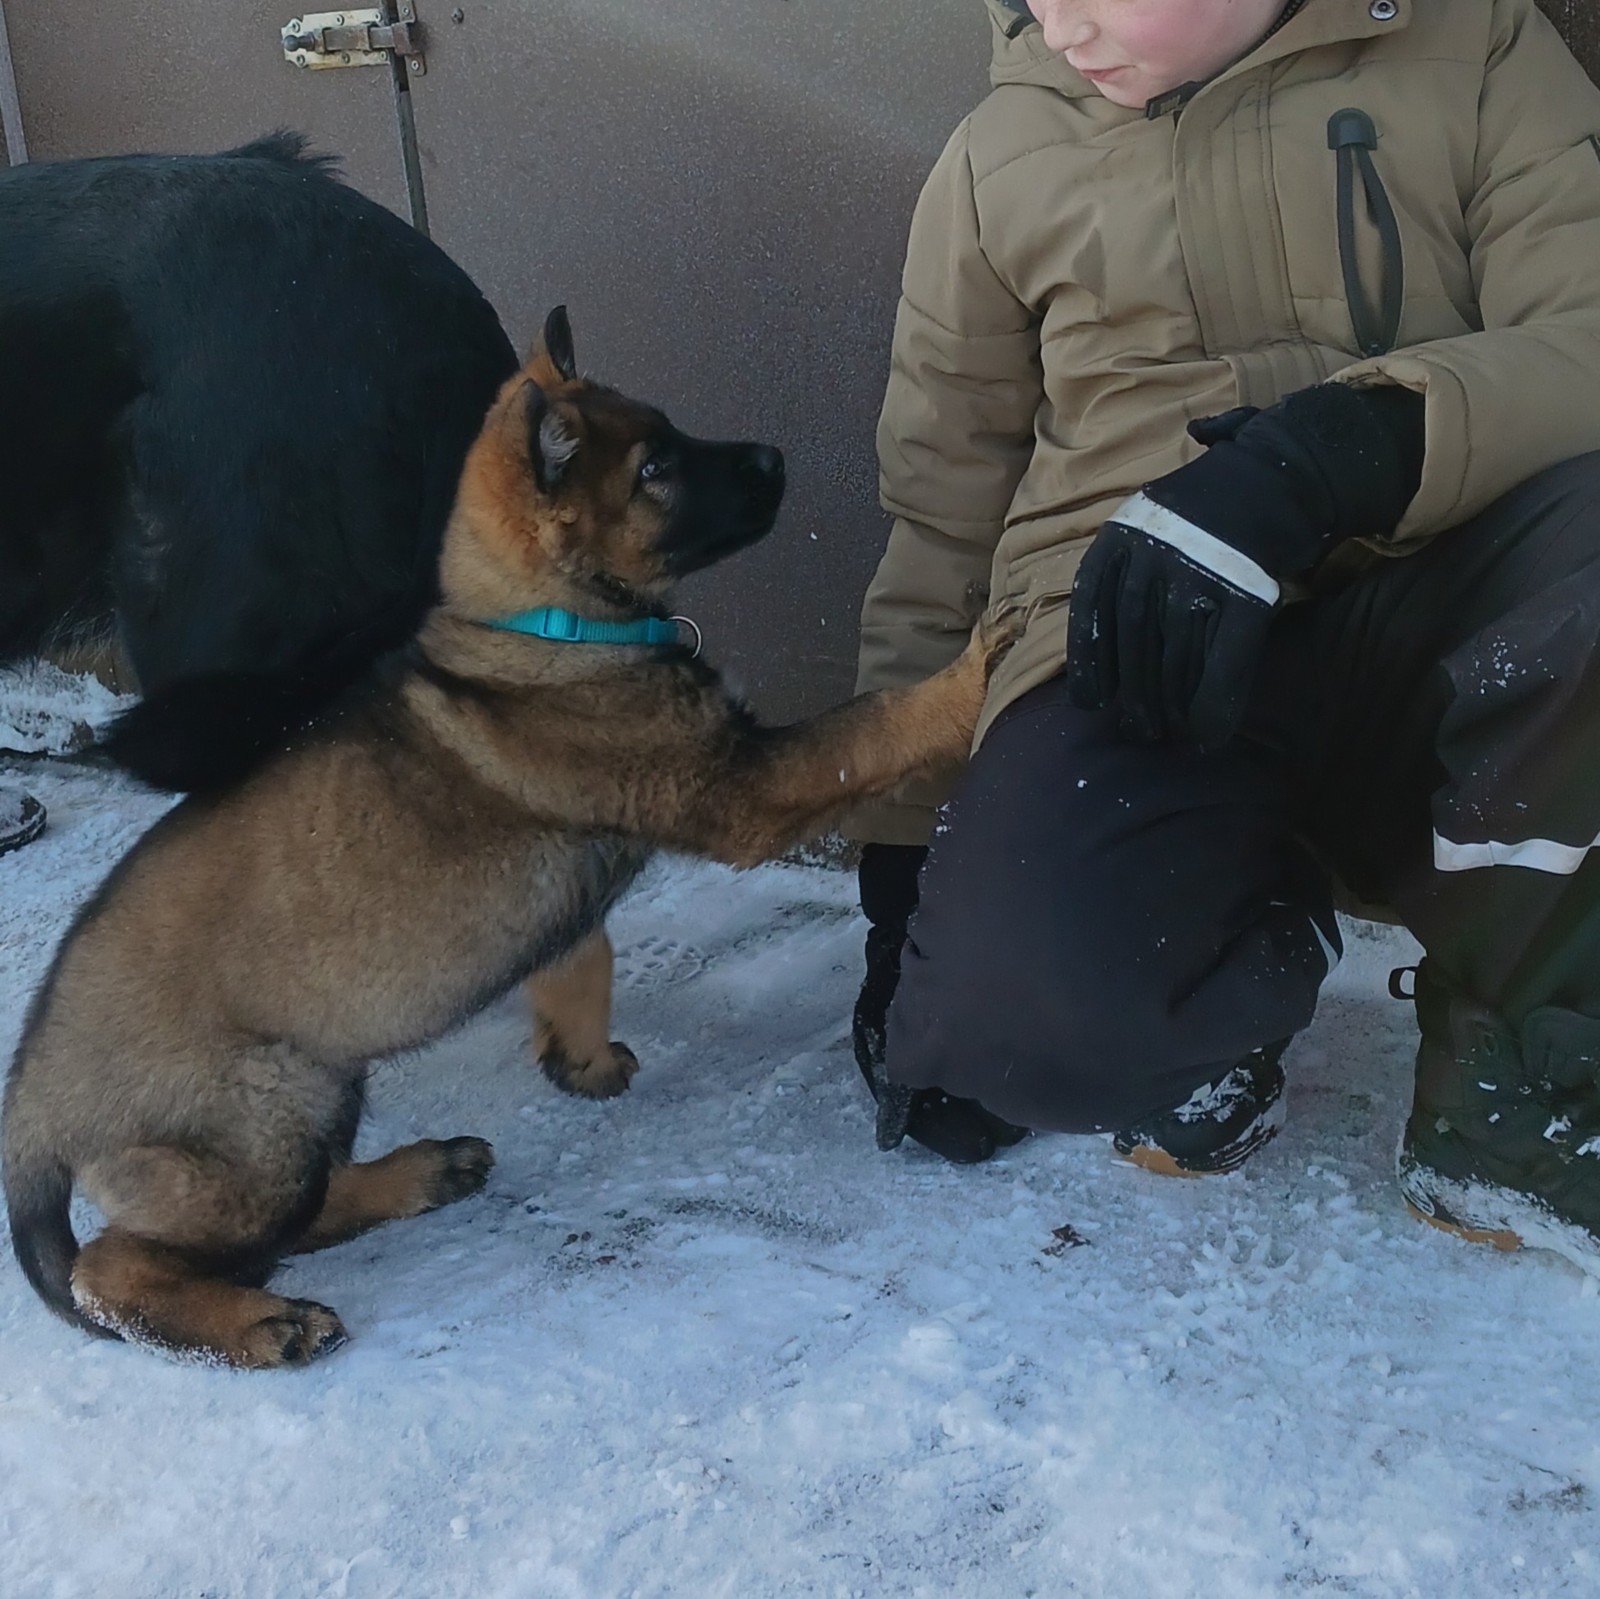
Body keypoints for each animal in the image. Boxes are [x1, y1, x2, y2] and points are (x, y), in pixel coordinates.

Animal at [2, 308, 1013, 1369]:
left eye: (669, 431)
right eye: (656, 469)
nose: (776, 458)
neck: (543, 624)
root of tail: (28, 1117)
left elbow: (584, 954)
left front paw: (581, 1057)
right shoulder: (744, 787)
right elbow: (869, 731)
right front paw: (976, 663)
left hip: (316, 1091)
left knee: (299, 1216)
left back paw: (418, 1174)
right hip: (260, 1117)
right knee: (124, 1269)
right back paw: (264, 1321)